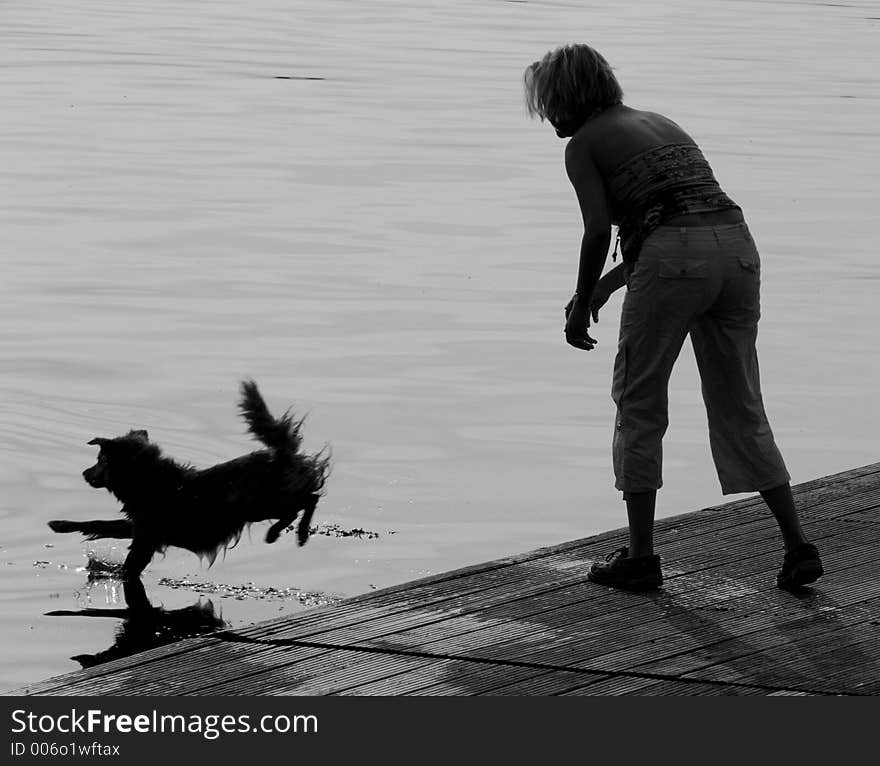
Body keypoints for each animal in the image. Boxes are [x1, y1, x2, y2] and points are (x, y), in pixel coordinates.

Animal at [49, 380, 330, 580]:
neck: (149, 480)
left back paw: (287, 533)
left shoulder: (146, 539)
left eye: (100, 460)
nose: (84, 473)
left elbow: (127, 560)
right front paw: (62, 525)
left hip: (260, 504)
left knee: (307, 501)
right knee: (308, 500)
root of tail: (283, 454)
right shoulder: (140, 526)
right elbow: (101, 524)